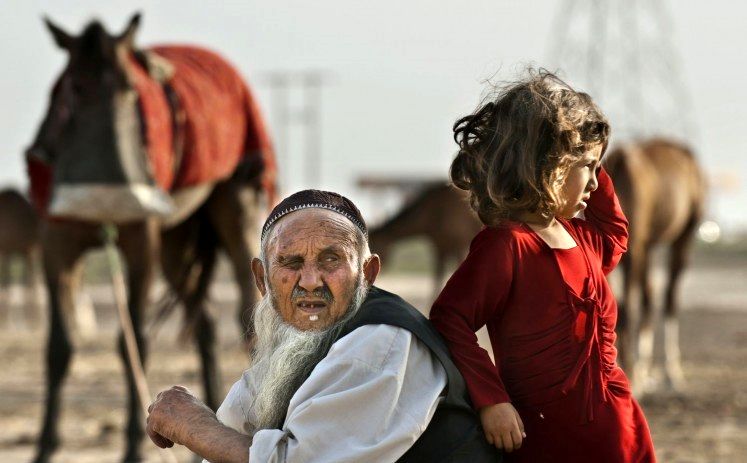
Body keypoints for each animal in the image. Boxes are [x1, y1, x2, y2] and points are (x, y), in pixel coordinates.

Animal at [27, 14, 278, 463]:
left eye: (131, 88)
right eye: (74, 86)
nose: (114, 197)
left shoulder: (140, 244)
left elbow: (134, 345)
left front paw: (132, 447)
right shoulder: (57, 245)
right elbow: (59, 346)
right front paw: (43, 447)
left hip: (235, 209)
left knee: (246, 318)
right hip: (177, 244)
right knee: (204, 321)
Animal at [604, 140, 704, 394]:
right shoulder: (680, 239)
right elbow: (666, 299)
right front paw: (669, 373)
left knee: (637, 299)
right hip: (645, 247)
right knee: (645, 301)